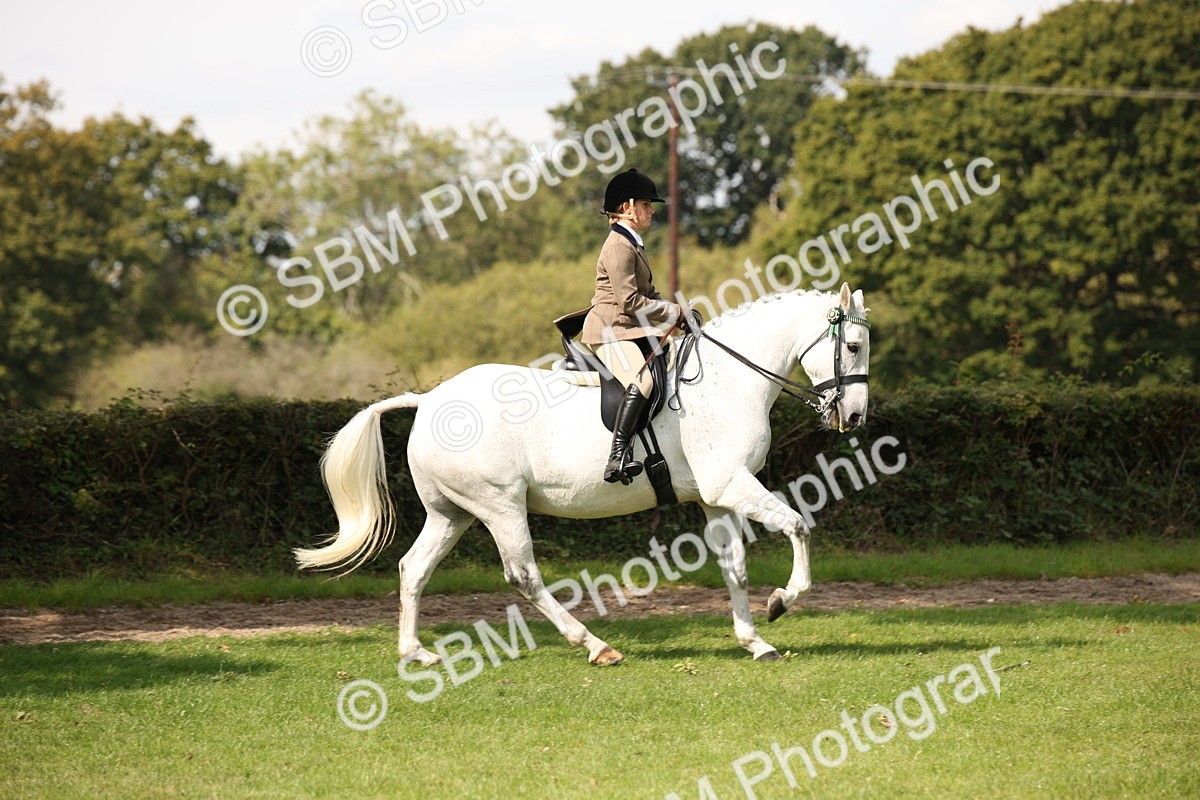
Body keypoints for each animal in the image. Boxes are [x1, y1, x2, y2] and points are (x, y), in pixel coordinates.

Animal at [295, 283, 871, 664]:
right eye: (853, 346)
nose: (855, 416)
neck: (729, 378)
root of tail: (431, 399)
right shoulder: (731, 484)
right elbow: (798, 525)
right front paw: (782, 602)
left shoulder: (716, 497)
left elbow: (735, 567)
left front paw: (755, 640)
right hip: (499, 505)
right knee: (523, 575)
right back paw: (594, 645)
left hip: (452, 513)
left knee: (413, 569)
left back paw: (416, 653)